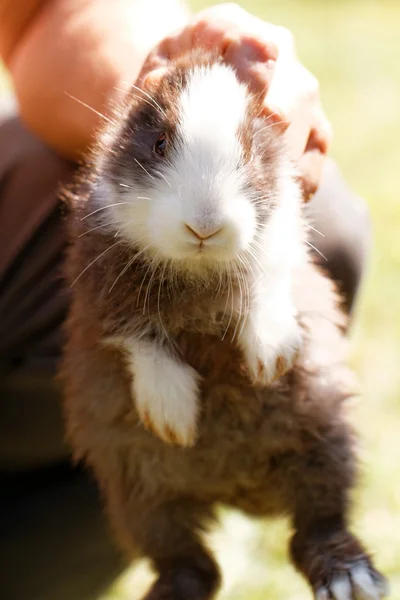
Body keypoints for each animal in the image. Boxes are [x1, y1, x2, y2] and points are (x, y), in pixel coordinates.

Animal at [61, 49, 390, 596]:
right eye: (159, 143)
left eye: (252, 153)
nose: (205, 226)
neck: (199, 268)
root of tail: (238, 489)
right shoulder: (101, 295)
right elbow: (139, 340)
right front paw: (173, 418)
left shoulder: (282, 246)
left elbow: (270, 283)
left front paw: (269, 359)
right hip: (134, 492)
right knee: (189, 561)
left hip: (326, 440)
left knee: (318, 524)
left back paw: (350, 579)